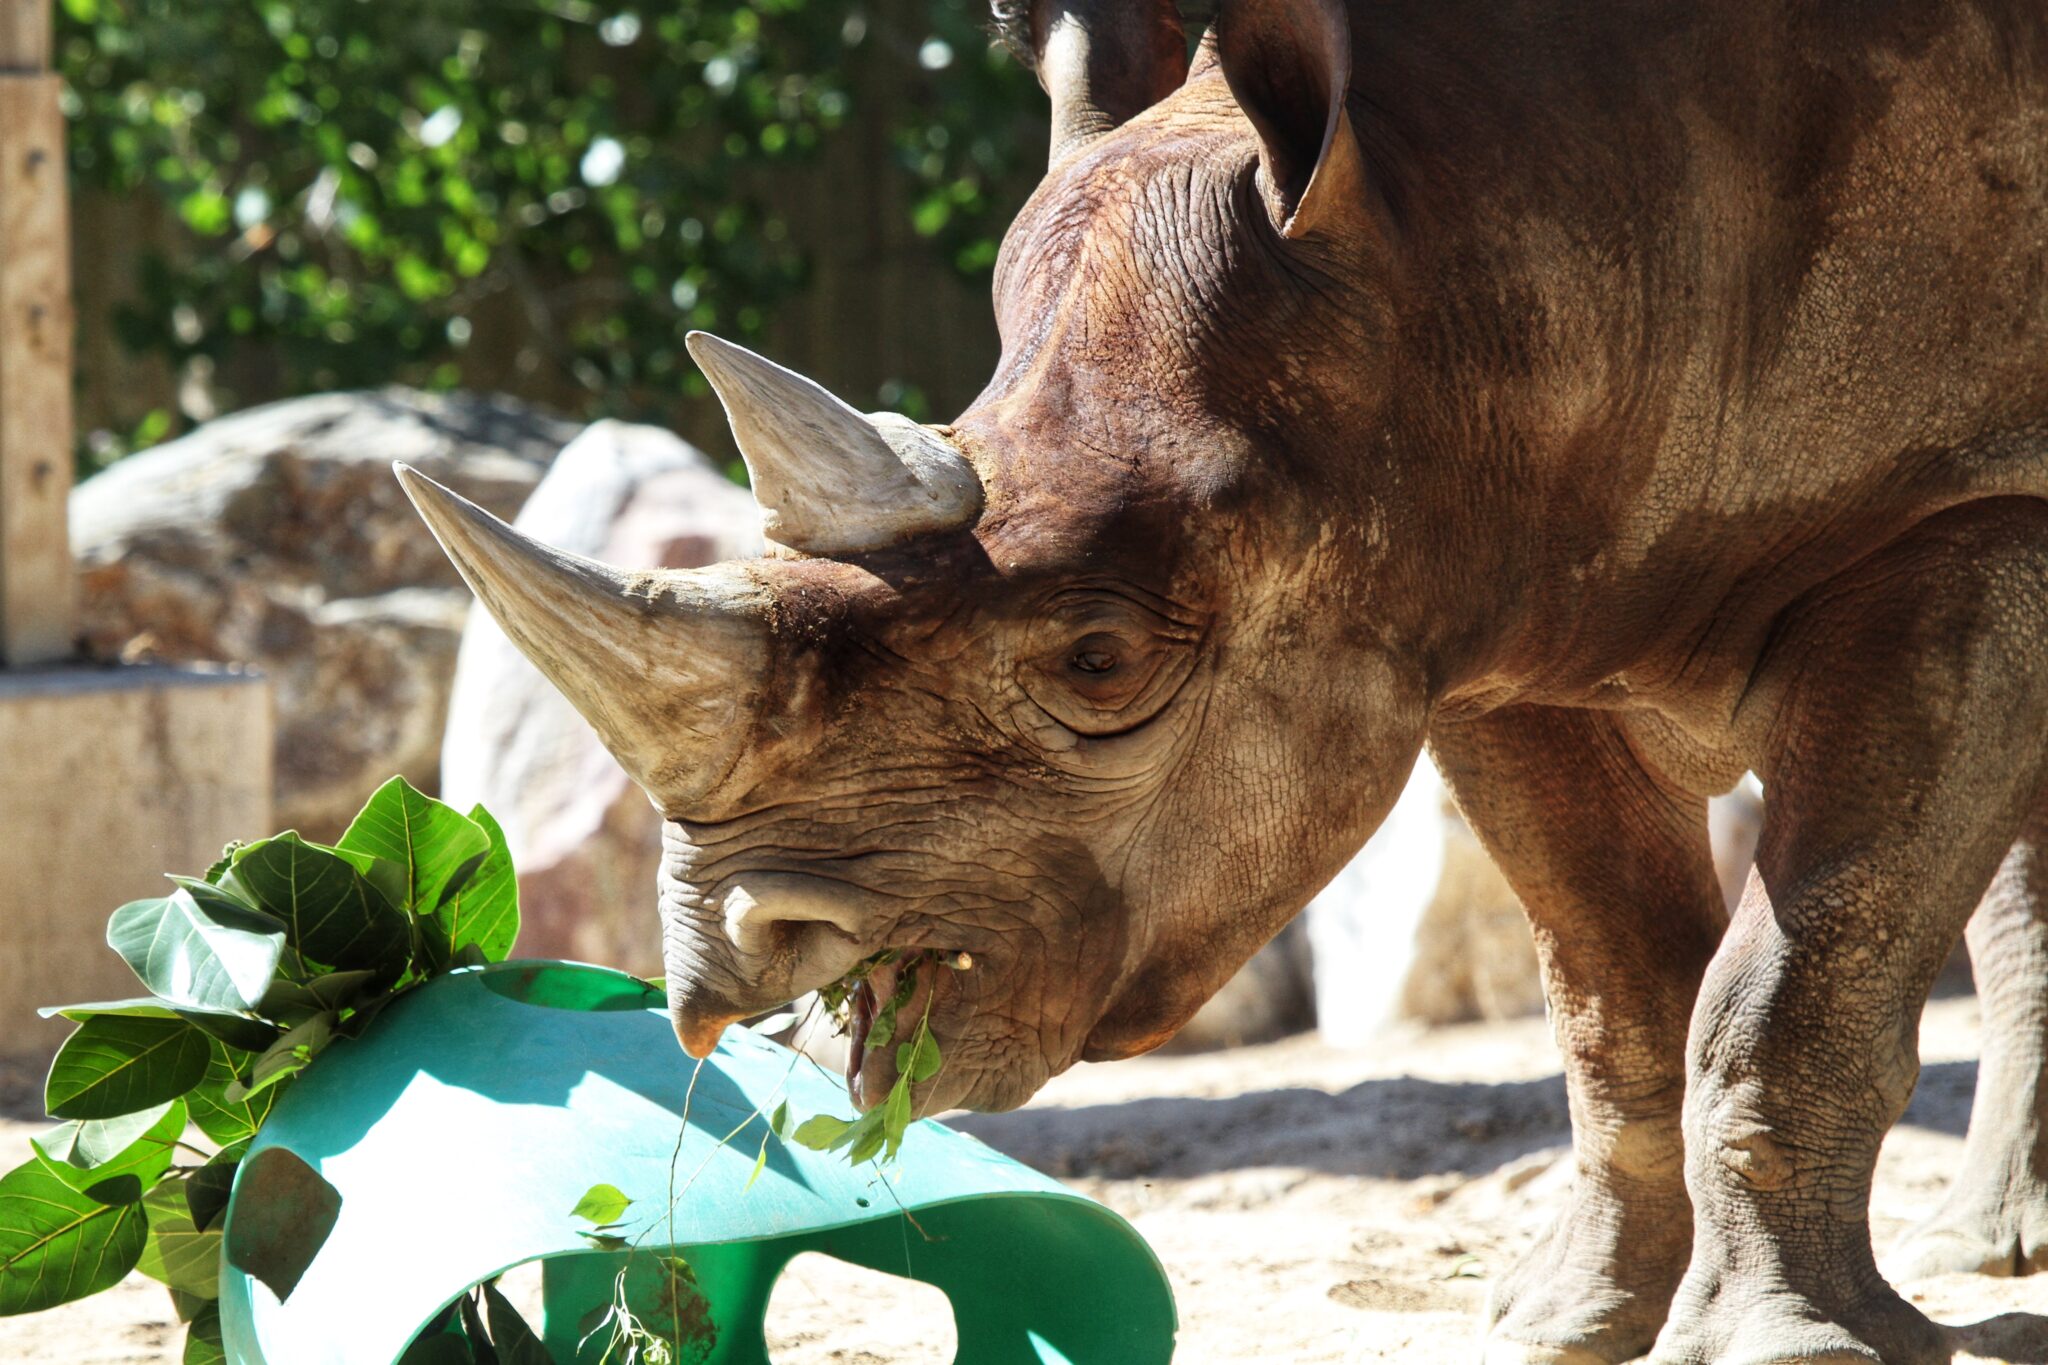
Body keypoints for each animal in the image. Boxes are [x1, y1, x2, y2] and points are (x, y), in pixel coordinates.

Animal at [395, 0, 2048, 1359]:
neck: (1473, 259)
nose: (724, 956)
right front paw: (1566, 1325)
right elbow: (1615, 976)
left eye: (1100, 659)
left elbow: (1794, 971)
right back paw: (1991, 1245)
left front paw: (1782, 1348)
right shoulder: (1494, 604)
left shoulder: (1971, 507)